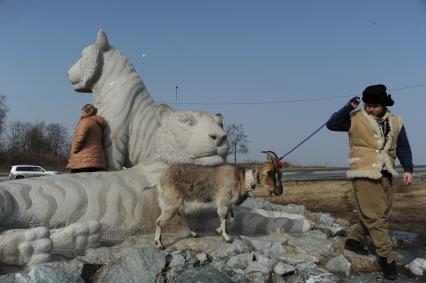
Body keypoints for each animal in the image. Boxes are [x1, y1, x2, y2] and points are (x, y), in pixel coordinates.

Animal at [154, 151, 282, 248]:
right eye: (270, 173)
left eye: (280, 174)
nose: (280, 192)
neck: (241, 180)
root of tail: (161, 179)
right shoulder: (223, 201)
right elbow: (223, 216)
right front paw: (226, 238)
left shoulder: (229, 204)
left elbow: (230, 219)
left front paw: (218, 231)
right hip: (171, 203)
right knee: (159, 221)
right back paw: (159, 244)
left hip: (178, 203)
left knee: (182, 216)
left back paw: (193, 234)